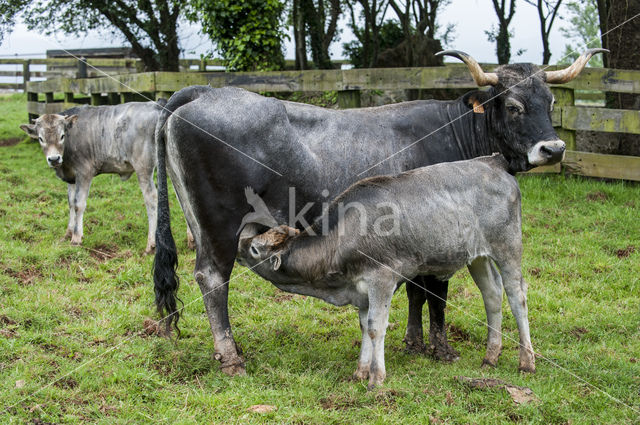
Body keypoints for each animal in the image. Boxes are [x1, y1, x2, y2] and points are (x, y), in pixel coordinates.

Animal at [21, 100, 168, 252]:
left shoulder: (84, 172)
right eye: (40, 138)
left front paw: (76, 238)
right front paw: (68, 233)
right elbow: (71, 203)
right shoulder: (71, 178)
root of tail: (157, 105)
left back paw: (151, 244)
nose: (54, 159)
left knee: (151, 199)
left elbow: (78, 204)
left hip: (143, 168)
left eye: (62, 136)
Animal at [238, 155, 532, 388]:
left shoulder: (381, 278)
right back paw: (490, 356)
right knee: (492, 294)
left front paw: (376, 378)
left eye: (254, 249)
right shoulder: (361, 289)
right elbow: (363, 325)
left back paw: (526, 361)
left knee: (516, 296)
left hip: (508, 246)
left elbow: (375, 327)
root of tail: (493, 161)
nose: (239, 246)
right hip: (477, 256)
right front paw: (360, 371)